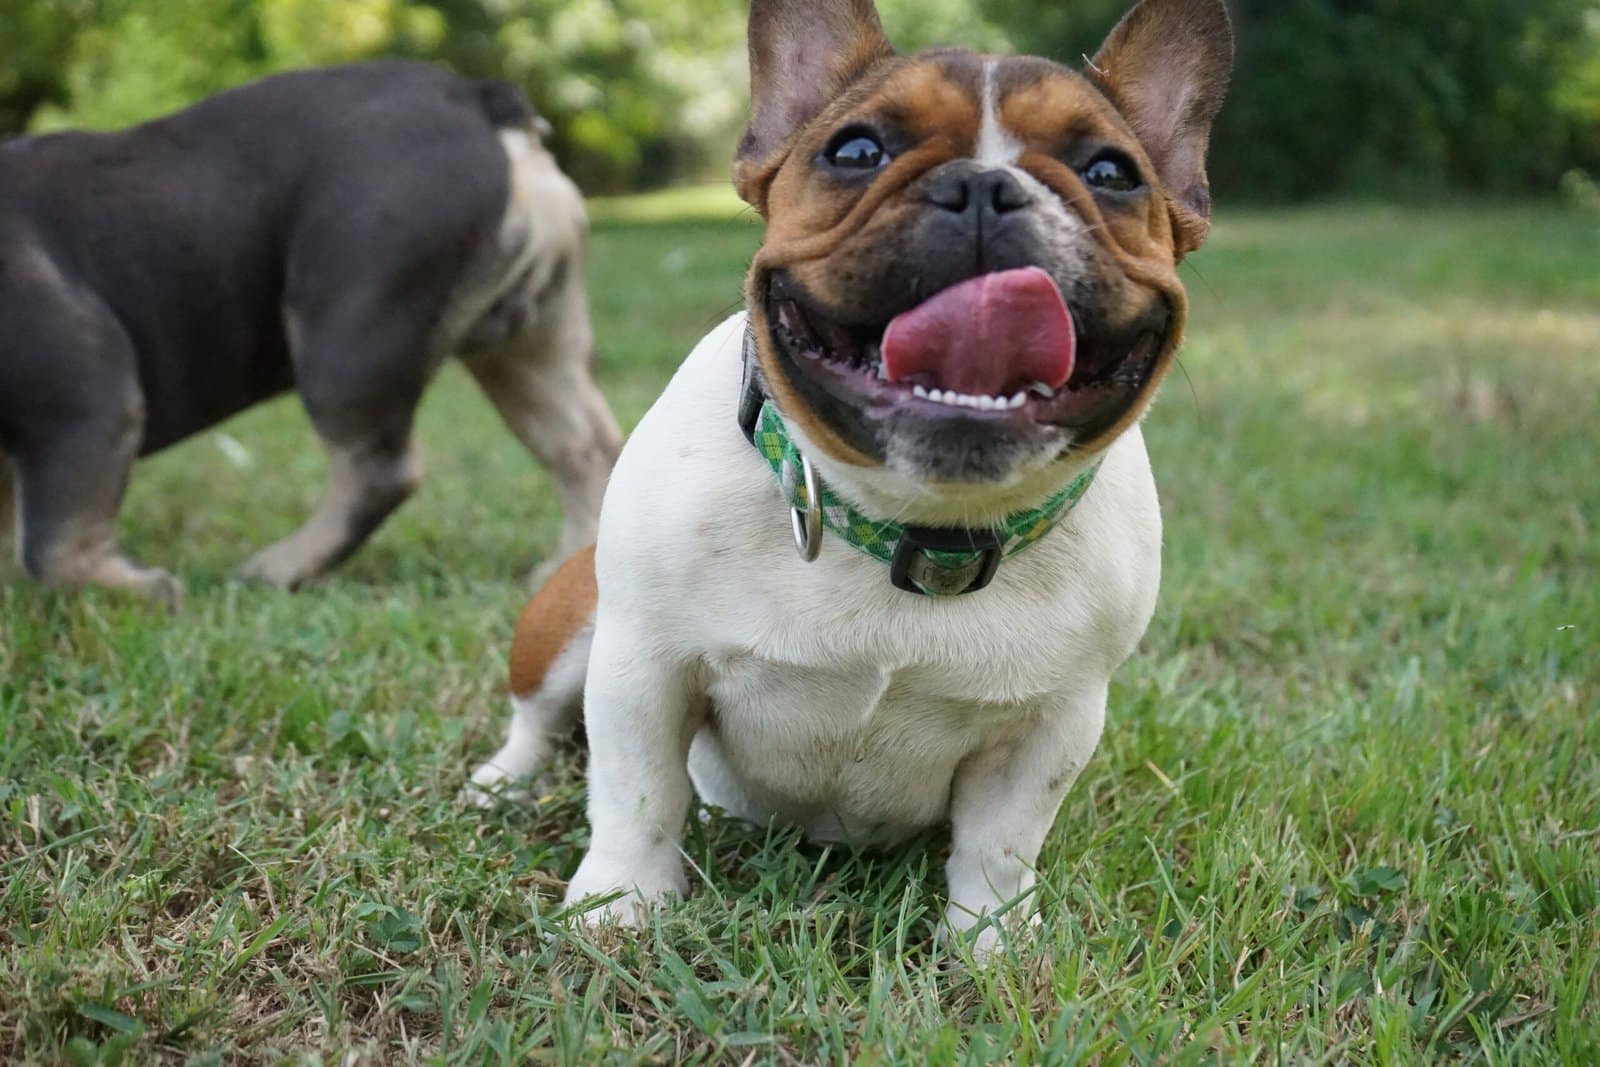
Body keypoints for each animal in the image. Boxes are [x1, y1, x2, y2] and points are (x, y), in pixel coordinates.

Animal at [0, 61, 619, 605]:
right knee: (583, 446)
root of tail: (473, 99)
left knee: (378, 468)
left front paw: (142, 592)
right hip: (529, 341)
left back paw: (281, 567)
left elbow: (51, 545)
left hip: (346, 336)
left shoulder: (84, 405)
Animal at [470, 0, 1232, 954]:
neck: (906, 518)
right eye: (857, 151)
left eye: (1111, 172)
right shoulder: (643, 664)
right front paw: (620, 906)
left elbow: (1002, 842)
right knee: (537, 717)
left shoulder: (1052, 720)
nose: (984, 189)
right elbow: (638, 793)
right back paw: (502, 780)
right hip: (574, 618)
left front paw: (993, 943)